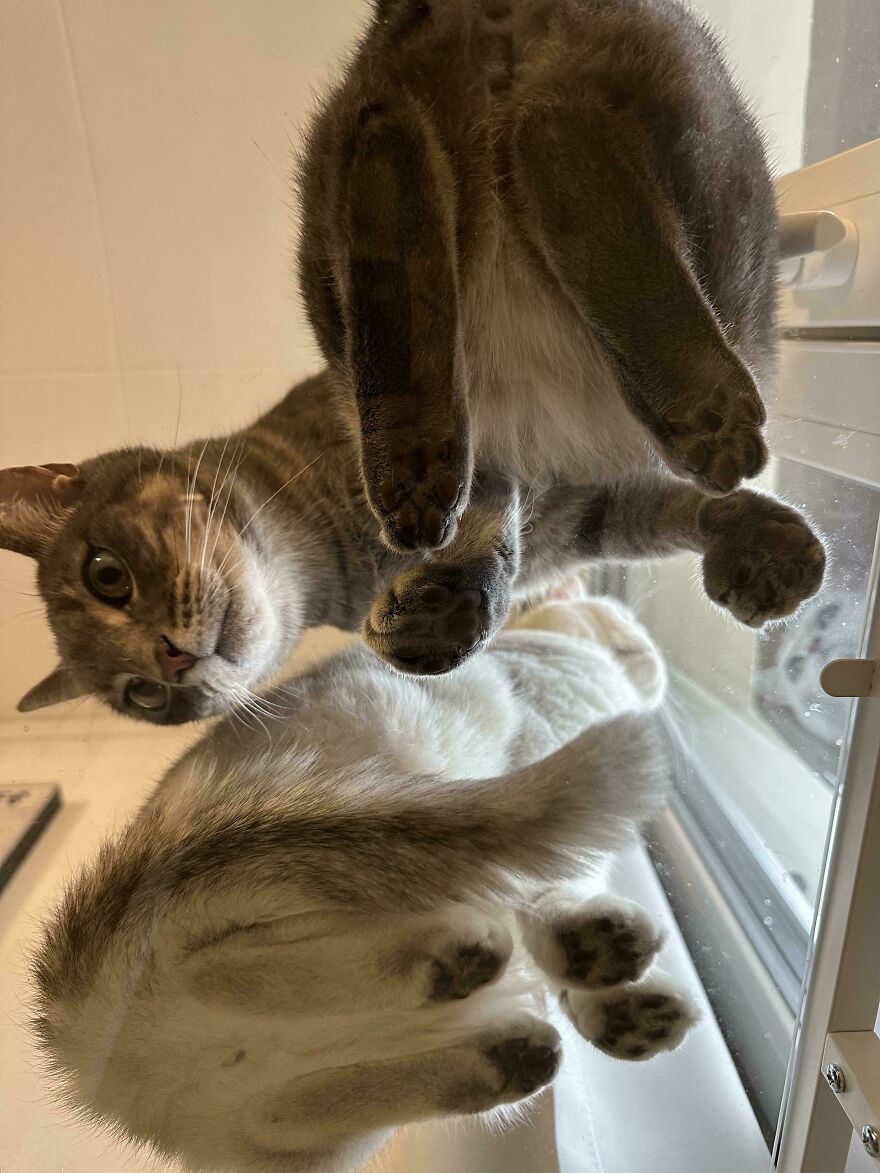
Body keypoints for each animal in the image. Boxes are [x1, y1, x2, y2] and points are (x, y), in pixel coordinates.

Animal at [0, 371, 823, 723]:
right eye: (140, 697)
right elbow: (659, 512)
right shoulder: (584, 516)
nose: (169, 664)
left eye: (106, 575)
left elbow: (492, 521)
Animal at [32, 591, 698, 1173]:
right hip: (334, 844)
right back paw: (449, 957)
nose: (653, 654)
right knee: (216, 963)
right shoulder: (534, 746)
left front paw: (622, 1005)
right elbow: (554, 884)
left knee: (283, 1110)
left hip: (313, 1126)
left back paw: (504, 1052)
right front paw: (595, 949)